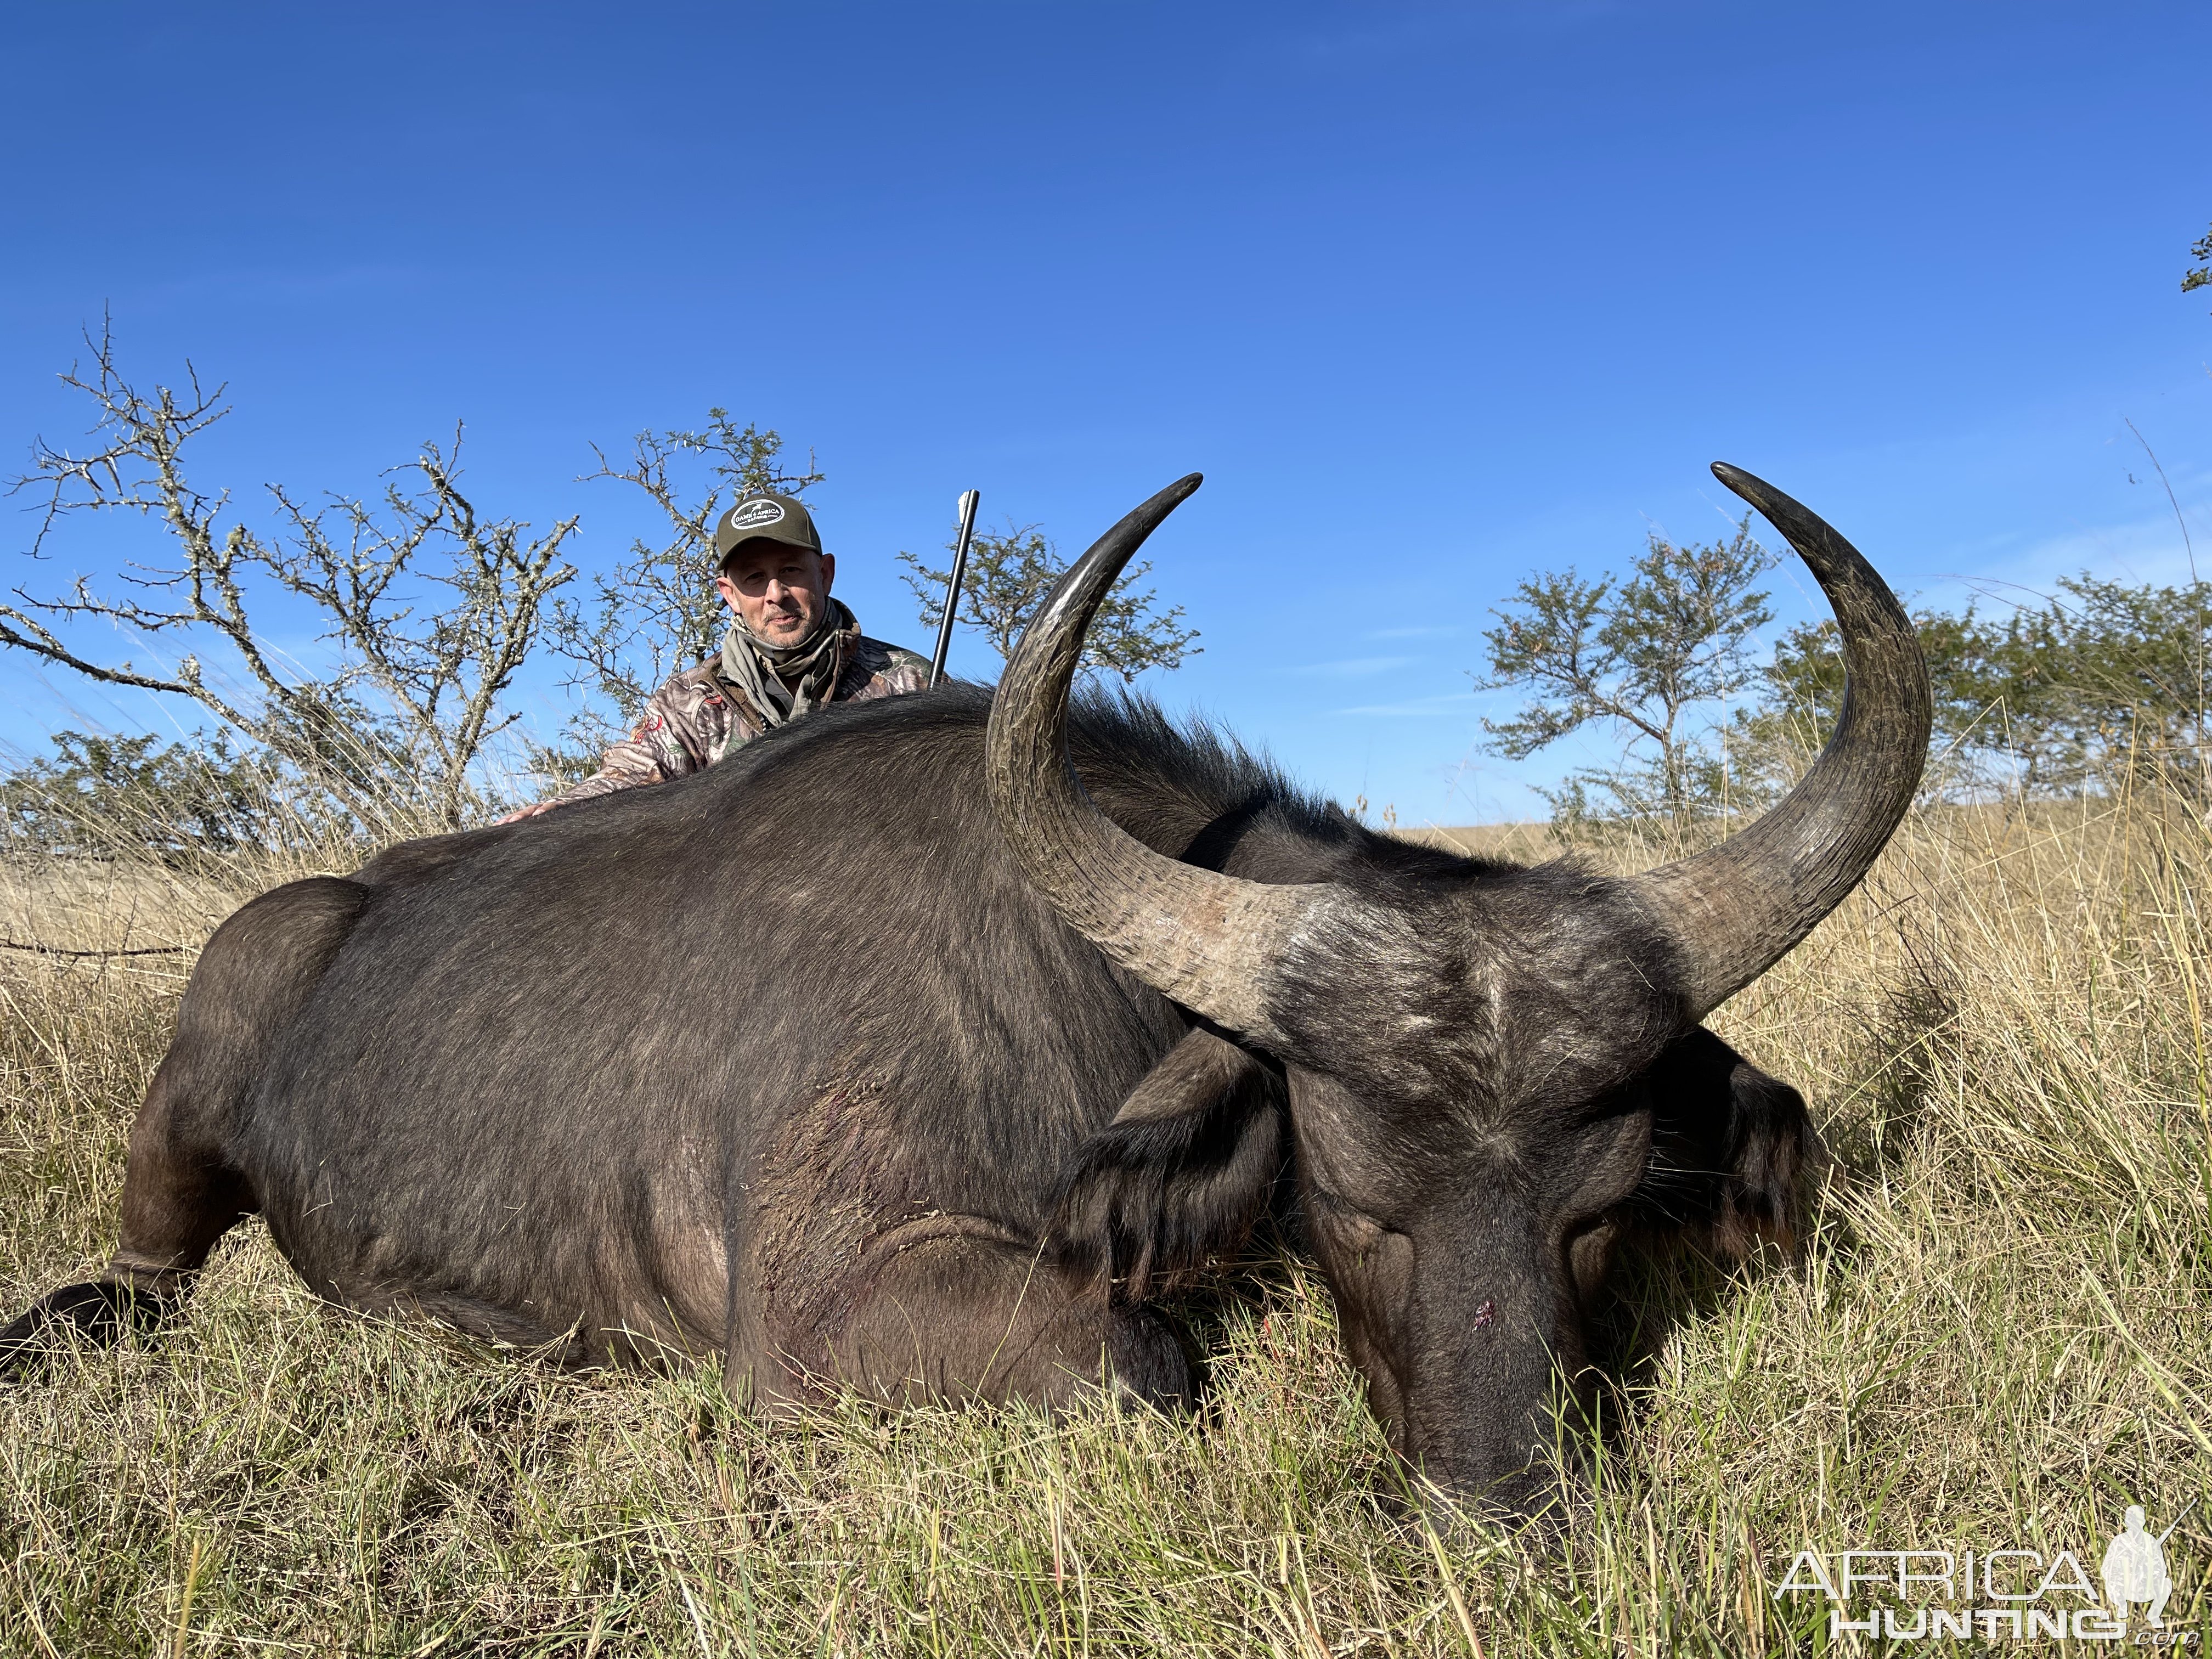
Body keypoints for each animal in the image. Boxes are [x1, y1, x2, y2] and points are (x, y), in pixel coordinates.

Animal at [0, 462, 1928, 1513]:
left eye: (1596, 1215)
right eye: (1355, 1205)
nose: (1500, 1508)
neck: (1070, 963)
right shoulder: (823, 1325)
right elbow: (1145, 1360)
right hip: (178, 1138)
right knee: (144, 1283)